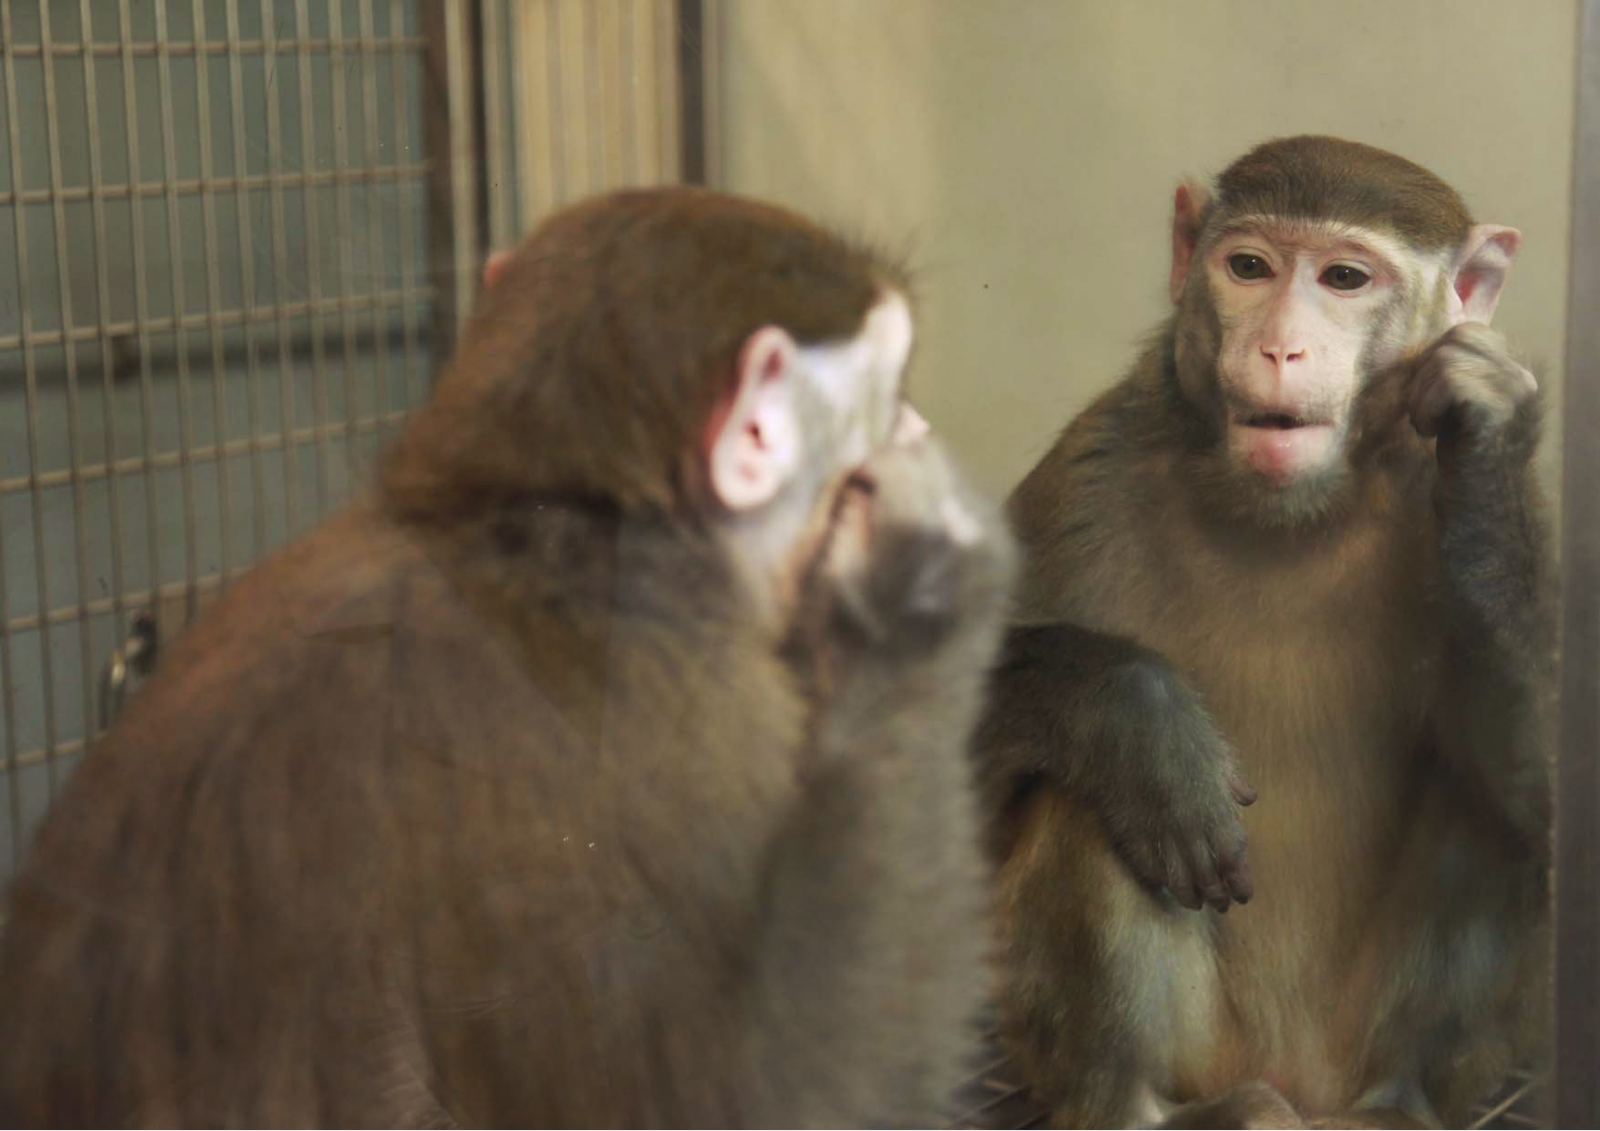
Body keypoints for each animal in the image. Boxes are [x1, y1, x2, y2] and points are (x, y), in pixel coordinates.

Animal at [0, 186, 1017, 1127]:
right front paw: (918, 588)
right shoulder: (646, 706)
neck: (534, 519)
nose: (922, 428)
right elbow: (759, 1097)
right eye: (893, 396)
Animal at [978, 136, 1554, 1128]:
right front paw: (1135, 713)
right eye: (1249, 267)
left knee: (1486, 797)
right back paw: (1135, 1103)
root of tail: (1293, 1076)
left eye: (1345, 278)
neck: (1298, 510)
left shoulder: (1529, 507)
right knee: (1086, 797)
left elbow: (1553, 800)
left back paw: (1397, 1100)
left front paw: (1483, 419)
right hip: (1194, 1052)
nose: (1280, 344)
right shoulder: (1091, 465)